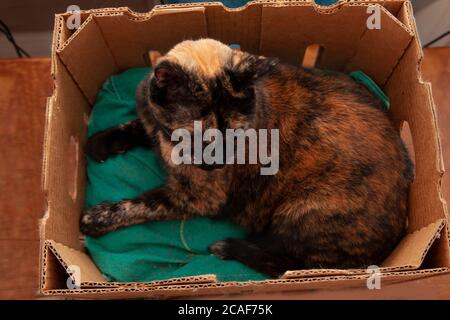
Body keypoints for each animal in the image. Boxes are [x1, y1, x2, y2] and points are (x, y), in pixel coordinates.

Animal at [80, 38, 412, 278]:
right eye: (198, 138)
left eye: (238, 136)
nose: (217, 165)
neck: (166, 141)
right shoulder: (151, 121)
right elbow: (137, 125)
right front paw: (100, 142)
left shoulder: (198, 197)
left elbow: (142, 205)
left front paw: (96, 218)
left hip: (304, 209)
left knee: (286, 264)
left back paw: (229, 246)